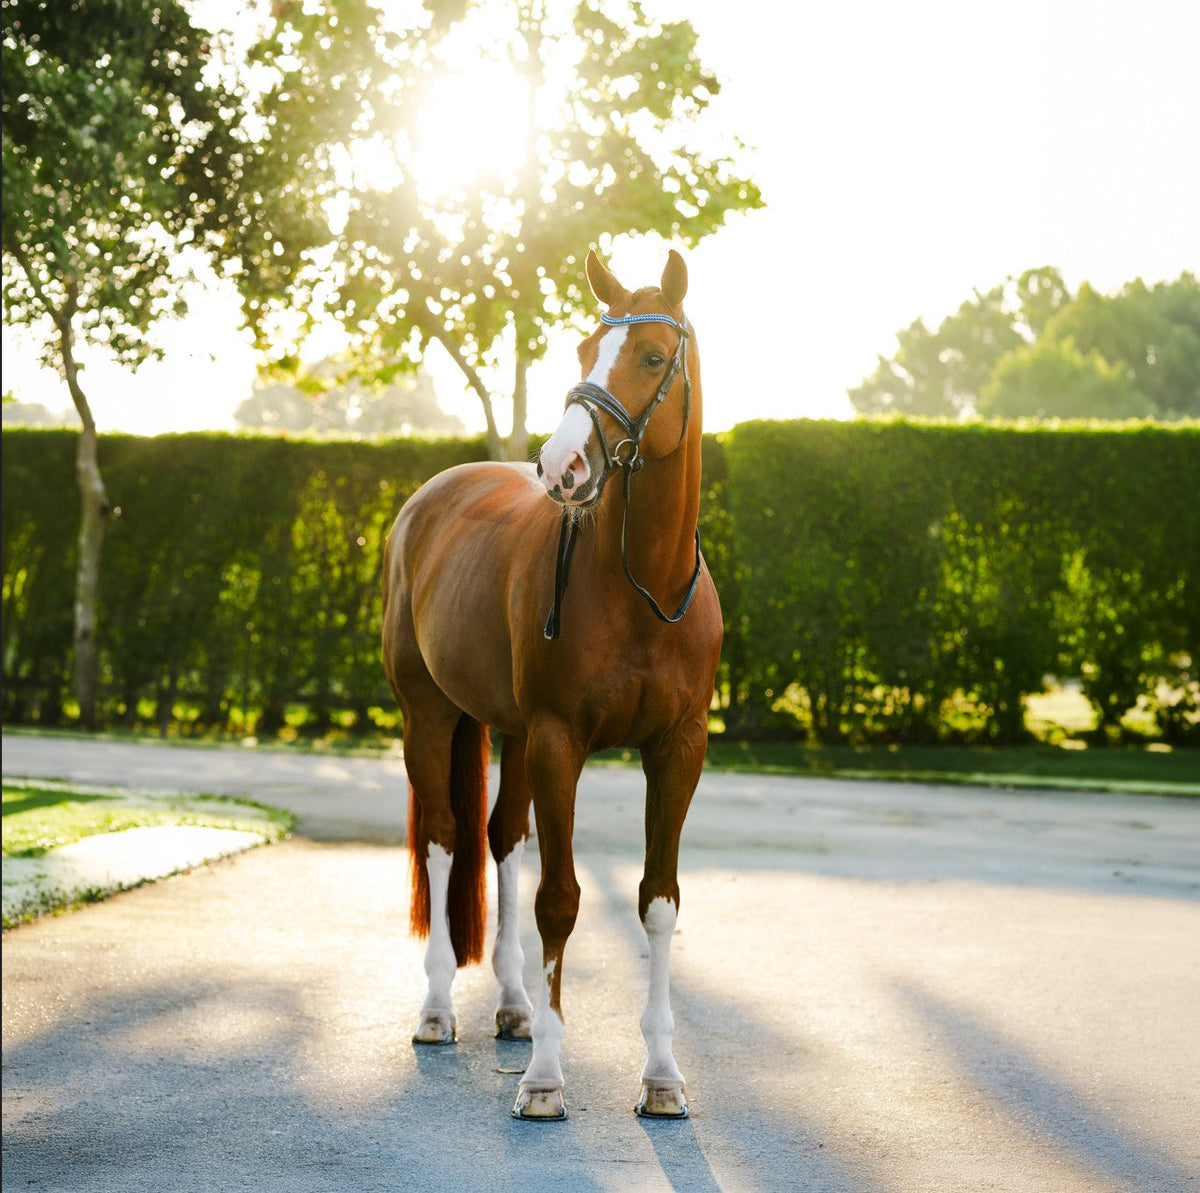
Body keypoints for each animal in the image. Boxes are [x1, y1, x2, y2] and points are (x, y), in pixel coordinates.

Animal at [381, 248, 722, 1120]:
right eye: (581, 349)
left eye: (652, 357)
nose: (561, 465)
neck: (642, 586)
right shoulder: (559, 740)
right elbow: (559, 900)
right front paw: (543, 1079)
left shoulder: (677, 750)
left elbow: (658, 898)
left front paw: (661, 1075)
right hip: (430, 716)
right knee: (445, 838)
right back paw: (438, 1008)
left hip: (508, 731)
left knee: (501, 836)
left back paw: (512, 1005)